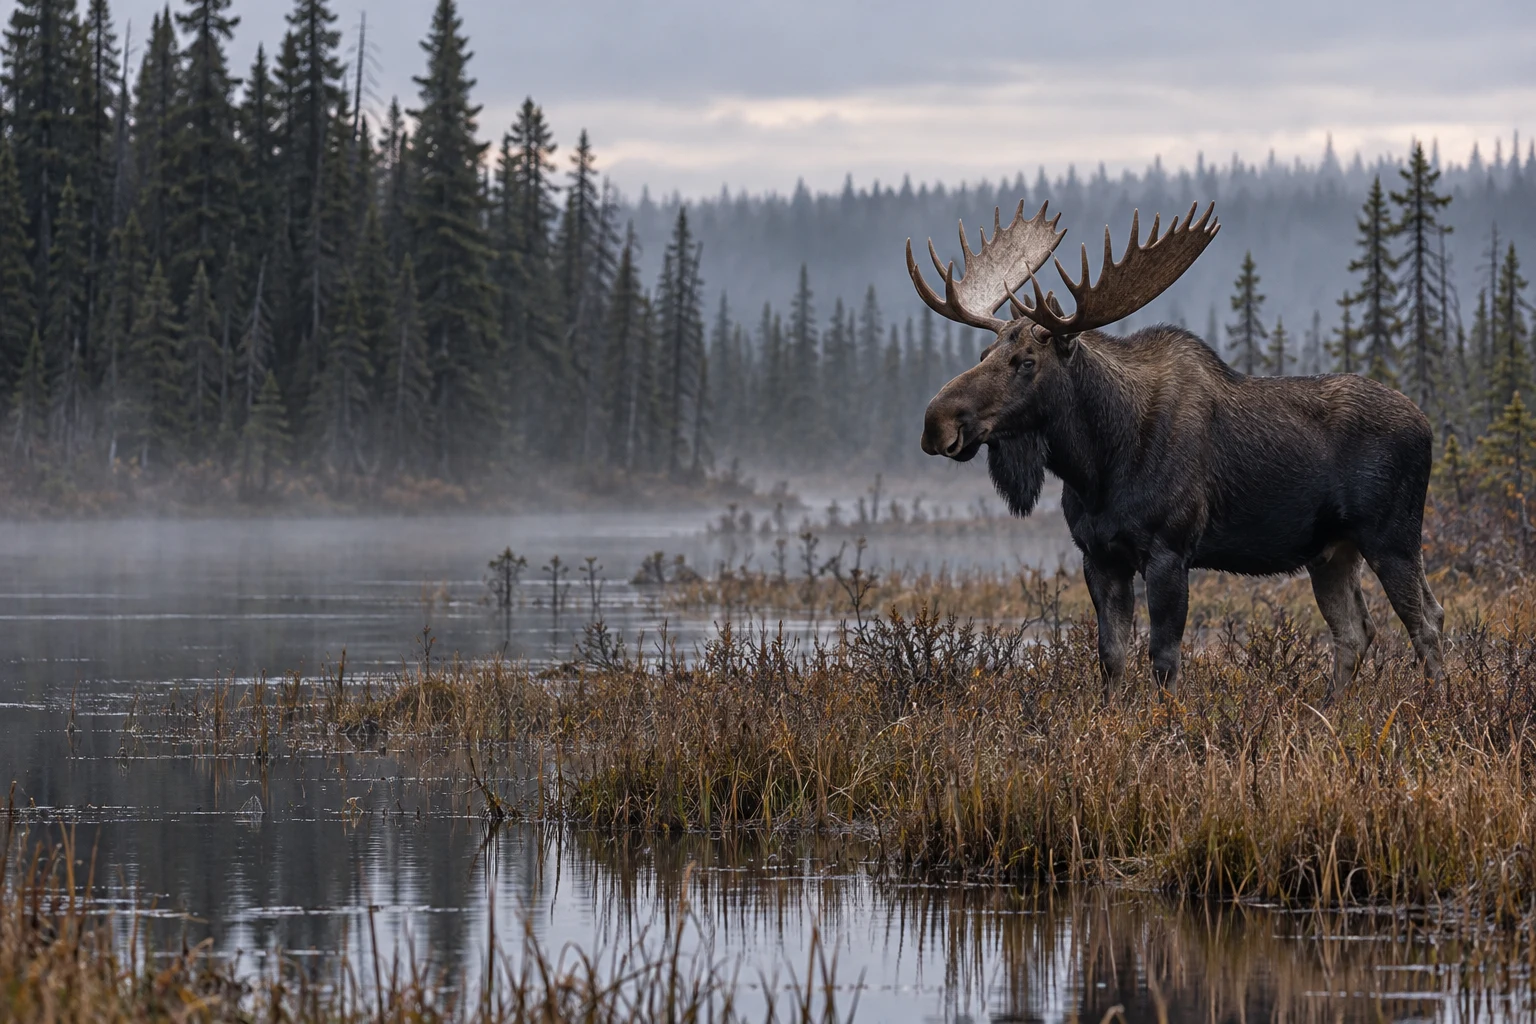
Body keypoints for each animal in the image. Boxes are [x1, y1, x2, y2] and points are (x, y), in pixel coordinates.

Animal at [909, 200, 1444, 698]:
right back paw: (1330, 712)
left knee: (1427, 620)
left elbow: (1164, 660)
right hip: (1331, 551)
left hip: (1392, 536)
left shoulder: (1170, 550)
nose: (936, 422)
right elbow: (1111, 657)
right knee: (1355, 631)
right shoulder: (1098, 555)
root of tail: (1427, 425)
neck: (1096, 465)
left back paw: (1437, 706)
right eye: (984, 353)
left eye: (1025, 361)